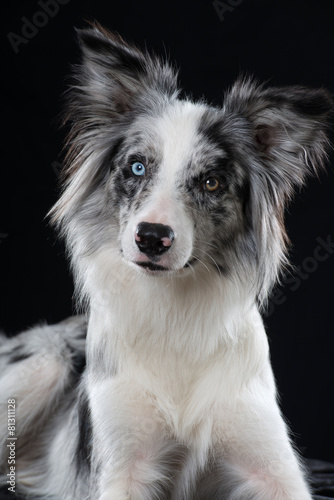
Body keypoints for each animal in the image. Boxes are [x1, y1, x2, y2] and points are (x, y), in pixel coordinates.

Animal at [0, 21, 332, 498]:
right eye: (138, 167)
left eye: (212, 182)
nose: (152, 238)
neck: (174, 314)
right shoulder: (123, 466)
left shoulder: (273, 468)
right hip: (44, 362)